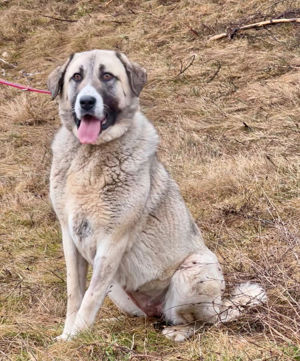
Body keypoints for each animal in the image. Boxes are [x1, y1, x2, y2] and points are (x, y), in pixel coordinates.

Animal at [48, 48, 266, 340]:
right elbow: (76, 294)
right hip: (119, 290)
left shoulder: (112, 241)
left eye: (107, 76)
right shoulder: (70, 238)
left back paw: (179, 331)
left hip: (194, 270)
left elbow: (91, 297)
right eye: (76, 77)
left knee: (205, 322)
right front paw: (68, 335)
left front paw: (77, 337)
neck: (90, 154)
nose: (86, 102)